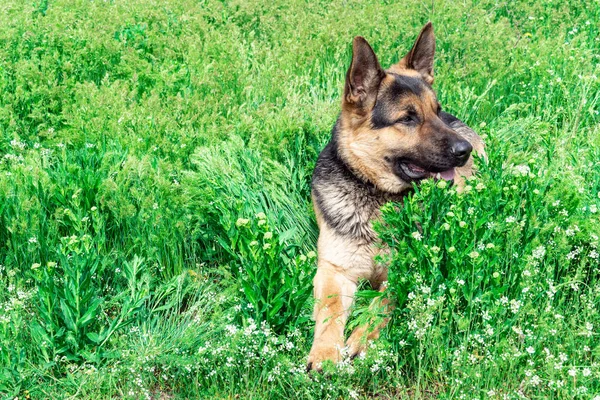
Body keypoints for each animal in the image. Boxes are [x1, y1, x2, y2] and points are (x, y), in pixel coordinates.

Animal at [308, 22, 486, 372]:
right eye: (407, 118)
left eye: (436, 111)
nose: (464, 152)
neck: (377, 194)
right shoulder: (334, 270)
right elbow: (331, 311)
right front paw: (324, 352)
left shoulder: (405, 268)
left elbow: (383, 301)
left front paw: (362, 338)